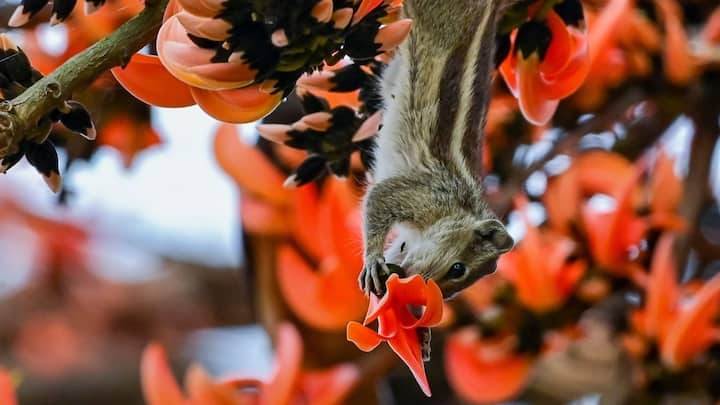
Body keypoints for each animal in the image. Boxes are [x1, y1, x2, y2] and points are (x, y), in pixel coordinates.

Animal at [362, 0, 516, 296]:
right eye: (458, 269)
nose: (420, 293)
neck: (459, 209)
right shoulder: (422, 195)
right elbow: (378, 199)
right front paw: (373, 260)